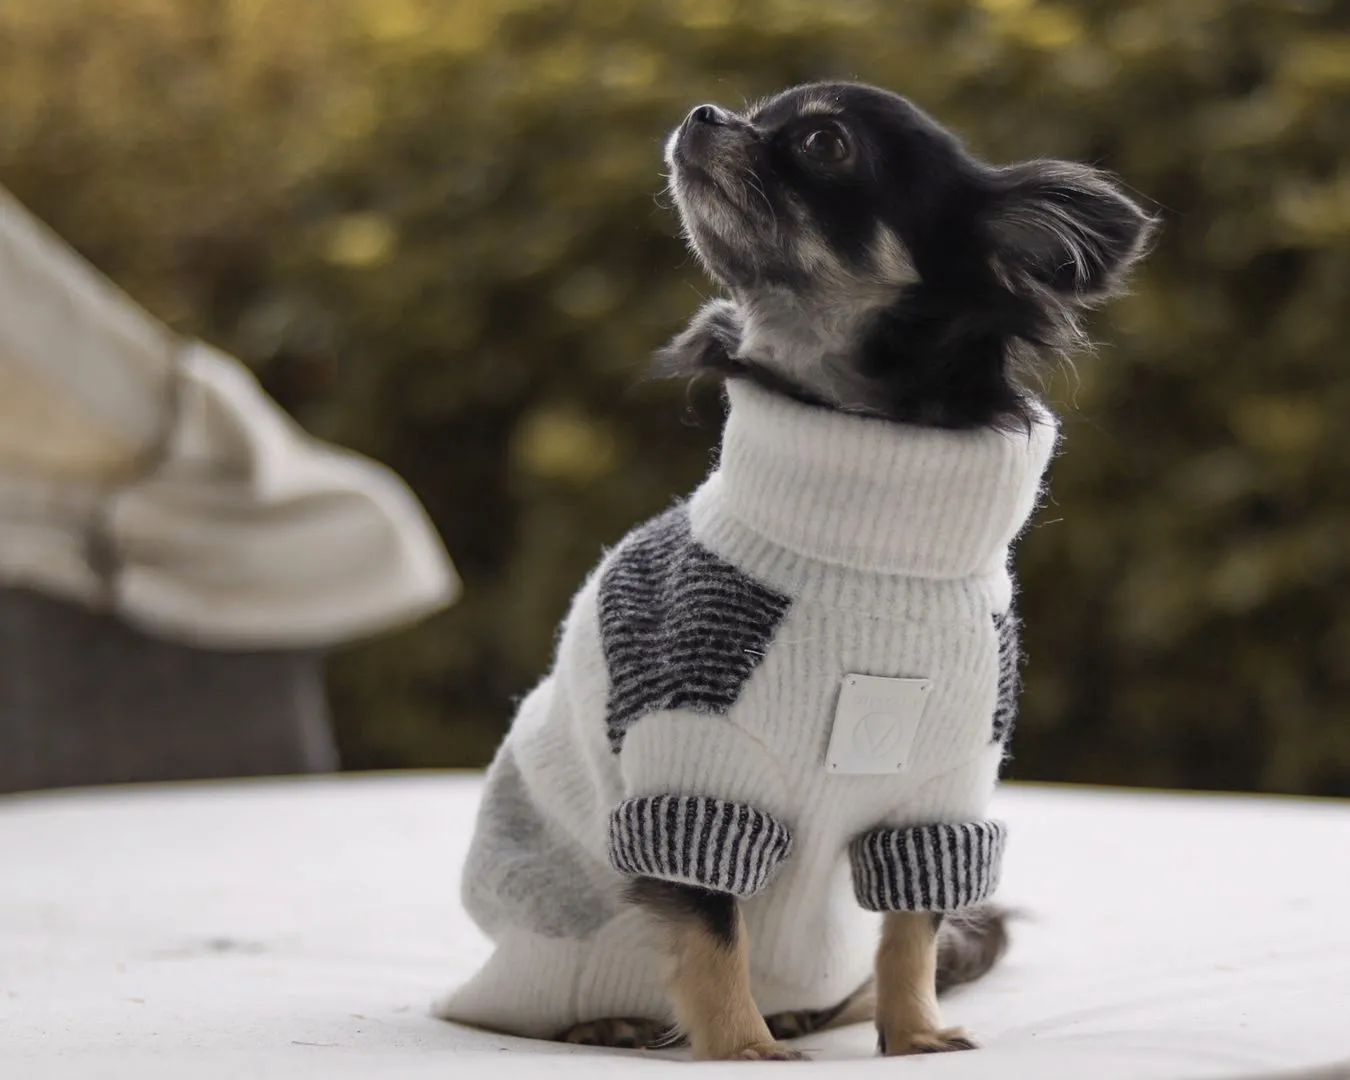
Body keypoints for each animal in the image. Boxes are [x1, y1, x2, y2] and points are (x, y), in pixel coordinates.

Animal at [440, 84, 1150, 1063]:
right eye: (757, 112)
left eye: (823, 143)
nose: (704, 114)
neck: (872, 545)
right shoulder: (695, 777)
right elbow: (711, 933)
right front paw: (743, 1047)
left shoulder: (936, 802)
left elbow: (910, 933)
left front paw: (913, 1033)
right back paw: (613, 1020)